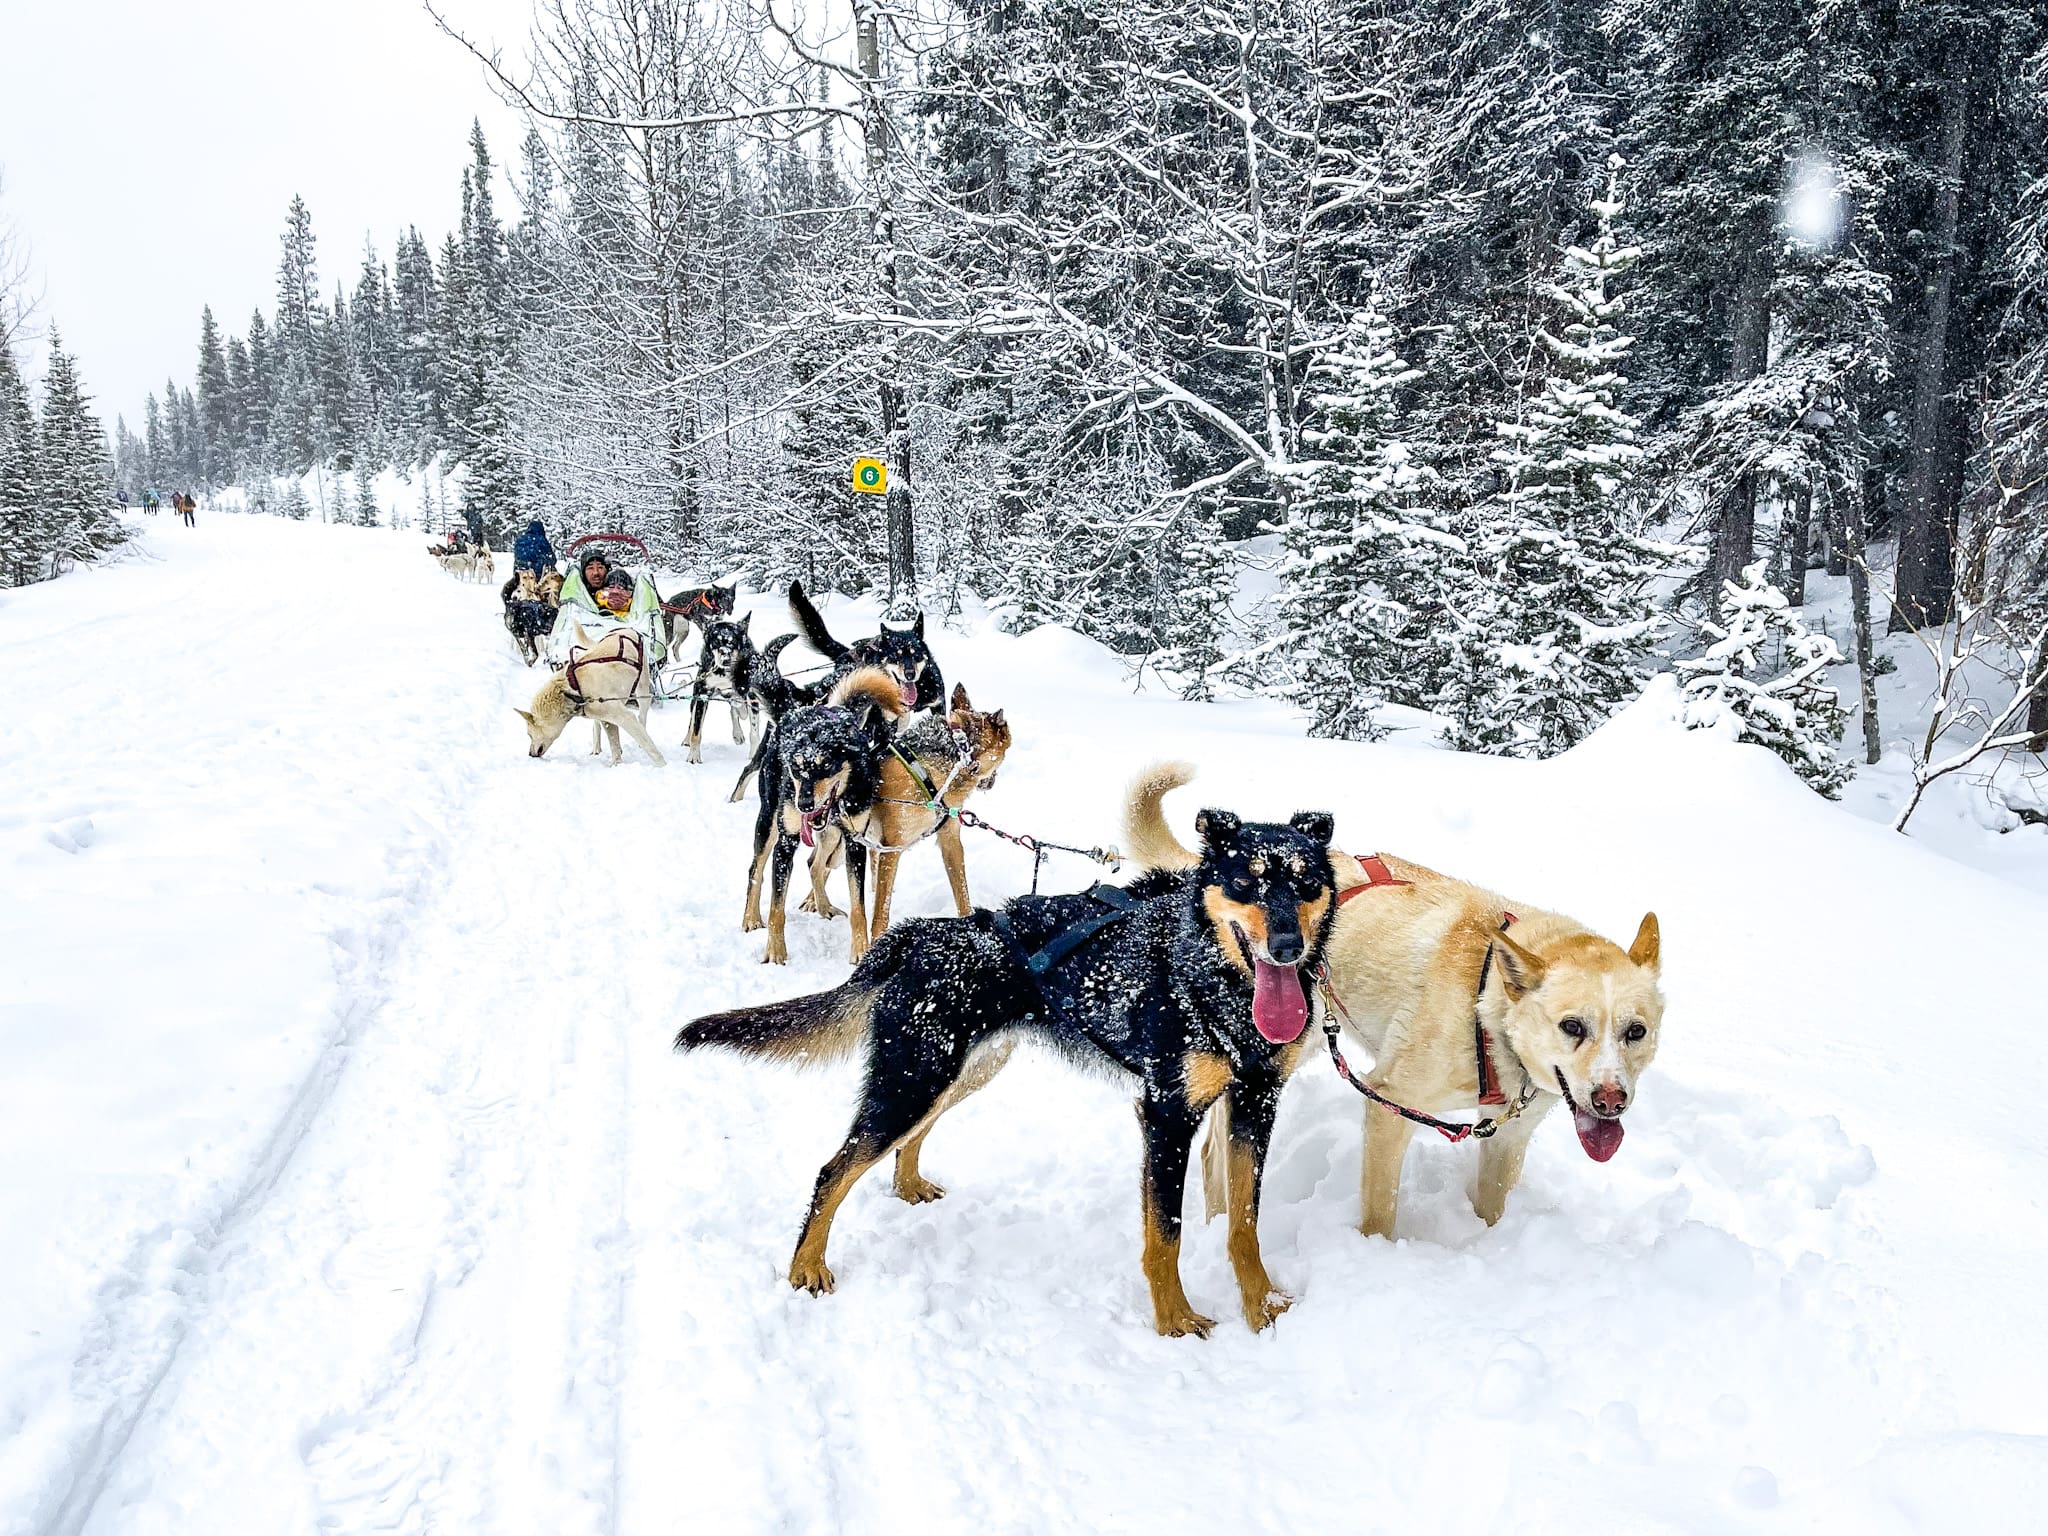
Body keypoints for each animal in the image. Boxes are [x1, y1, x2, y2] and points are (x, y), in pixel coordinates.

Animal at [516, 626, 667, 770]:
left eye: (529, 734)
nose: (530, 754)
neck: (570, 691)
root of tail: (626, 628)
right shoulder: (608, 719)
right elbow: (614, 744)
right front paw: (617, 764)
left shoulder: (625, 717)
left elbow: (649, 747)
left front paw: (664, 766)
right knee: (597, 725)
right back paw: (596, 748)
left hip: (642, 689)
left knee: (642, 716)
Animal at [675, 806, 1343, 1335]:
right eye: (1246, 882)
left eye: (1306, 883)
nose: (1287, 947)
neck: (1210, 975)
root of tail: (919, 936)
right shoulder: (1166, 1115)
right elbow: (1166, 1234)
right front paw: (1175, 1320)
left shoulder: (1256, 1104)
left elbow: (1245, 1224)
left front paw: (1263, 1305)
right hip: (913, 1080)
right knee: (832, 1171)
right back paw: (805, 1266)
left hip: (961, 1073)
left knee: (905, 1143)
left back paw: (907, 1187)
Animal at [1122, 765, 1662, 1245]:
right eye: (1572, 1026)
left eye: (1635, 1032)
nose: (1611, 1100)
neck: (1486, 1008)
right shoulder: (1390, 1105)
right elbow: (1380, 1215)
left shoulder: (1507, 1138)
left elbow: (1491, 1210)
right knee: (1217, 1150)